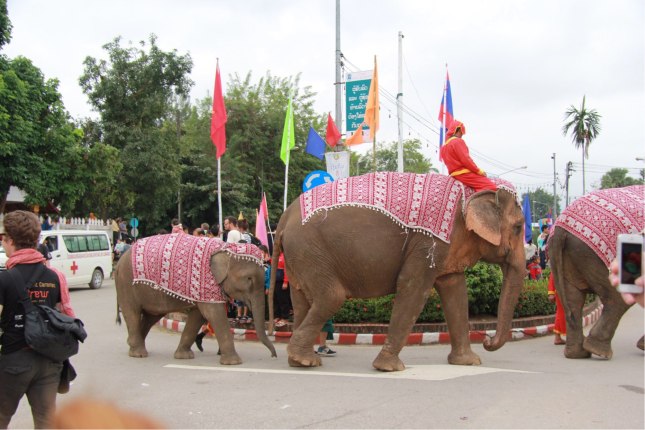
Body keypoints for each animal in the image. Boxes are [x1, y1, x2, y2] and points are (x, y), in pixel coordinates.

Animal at [114, 235, 276, 365]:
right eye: (249, 279)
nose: (273, 356)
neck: (225, 248)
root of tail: (118, 262)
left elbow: (198, 316)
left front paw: (184, 357)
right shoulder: (206, 283)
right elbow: (214, 314)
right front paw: (234, 363)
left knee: (151, 316)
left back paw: (133, 345)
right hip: (126, 284)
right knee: (133, 313)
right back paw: (138, 353)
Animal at [269, 172, 527, 371]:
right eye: (518, 227)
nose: (487, 339)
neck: (470, 190)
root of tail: (285, 217)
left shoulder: (446, 245)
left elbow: (455, 291)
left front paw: (469, 363)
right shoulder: (427, 242)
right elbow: (413, 288)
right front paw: (389, 368)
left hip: (300, 258)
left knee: (302, 301)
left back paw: (301, 361)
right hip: (309, 251)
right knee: (331, 297)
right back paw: (304, 359)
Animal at [548, 185, 644, 359]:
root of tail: (560, 230)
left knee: (574, 300)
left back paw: (578, 354)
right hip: (595, 257)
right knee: (617, 298)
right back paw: (599, 352)